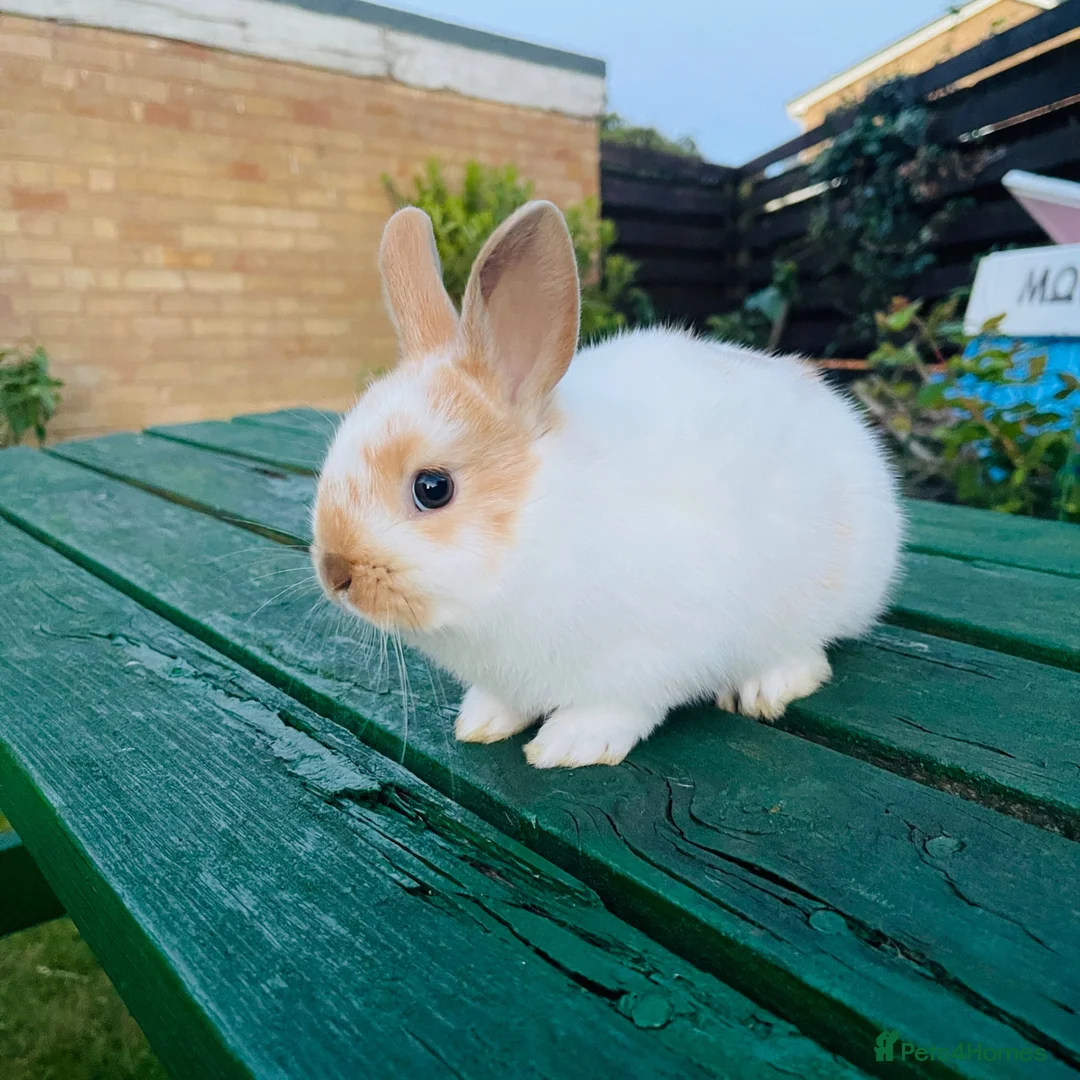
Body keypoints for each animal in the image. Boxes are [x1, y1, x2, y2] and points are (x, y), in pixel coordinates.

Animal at [312, 199, 904, 769]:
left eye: (432, 488)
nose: (336, 572)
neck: (541, 522)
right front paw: (482, 721)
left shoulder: (650, 657)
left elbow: (619, 707)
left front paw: (569, 745)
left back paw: (765, 688)